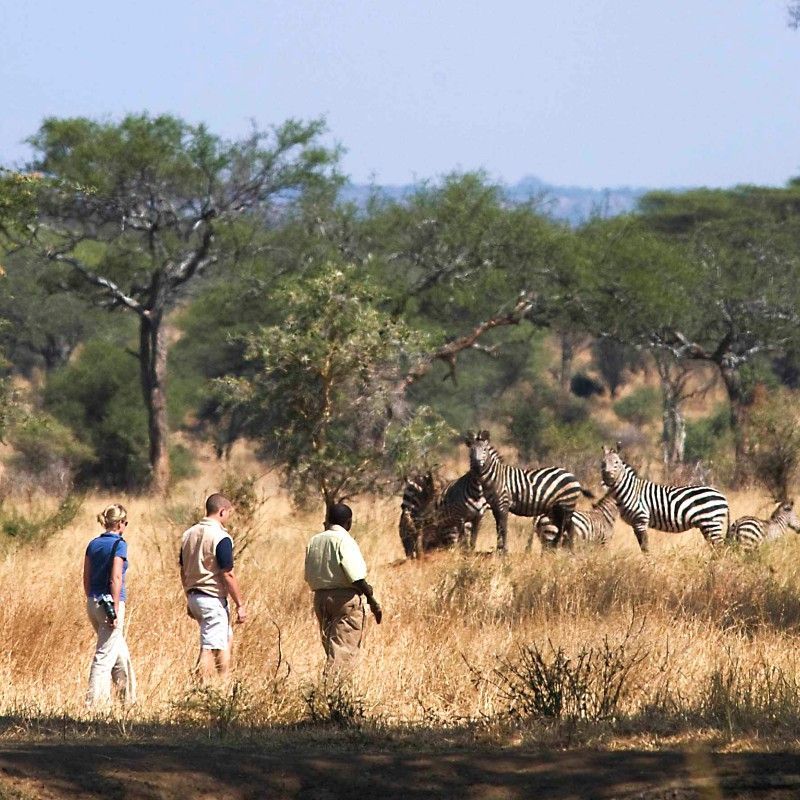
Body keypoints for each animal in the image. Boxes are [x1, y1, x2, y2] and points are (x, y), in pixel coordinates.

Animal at [600, 444, 728, 551]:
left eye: (616, 462)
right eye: (603, 463)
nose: (607, 476)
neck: (630, 490)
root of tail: (722, 496)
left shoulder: (640, 520)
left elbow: (645, 547)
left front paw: (648, 563)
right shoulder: (634, 525)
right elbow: (642, 546)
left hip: (711, 523)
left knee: (720, 549)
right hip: (708, 525)